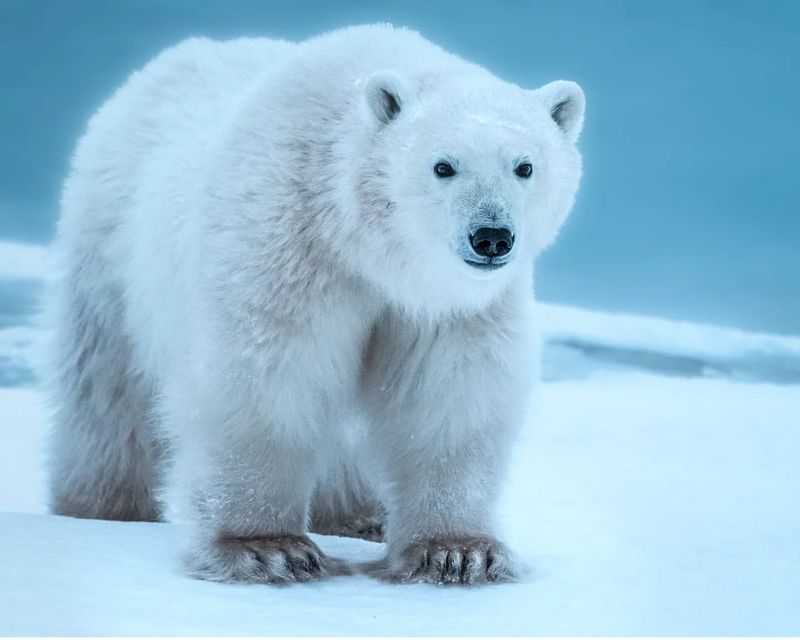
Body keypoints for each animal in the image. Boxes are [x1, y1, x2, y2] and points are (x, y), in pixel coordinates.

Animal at [43, 25, 584, 584]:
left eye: (525, 166)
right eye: (443, 166)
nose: (491, 236)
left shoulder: (449, 307)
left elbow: (450, 393)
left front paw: (458, 552)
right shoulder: (288, 241)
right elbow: (267, 376)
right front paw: (264, 549)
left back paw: (356, 515)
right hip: (108, 250)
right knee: (106, 390)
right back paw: (103, 505)